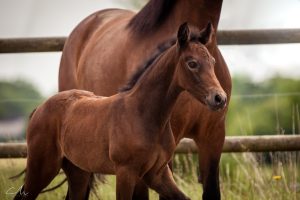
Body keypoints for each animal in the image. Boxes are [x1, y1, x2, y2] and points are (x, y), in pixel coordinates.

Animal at [13, 23, 225, 200]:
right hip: (42, 167)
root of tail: (39, 109)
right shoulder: (126, 172)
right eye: (192, 63)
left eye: (213, 61)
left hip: (78, 172)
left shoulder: (158, 174)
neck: (143, 114)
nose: (219, 98)